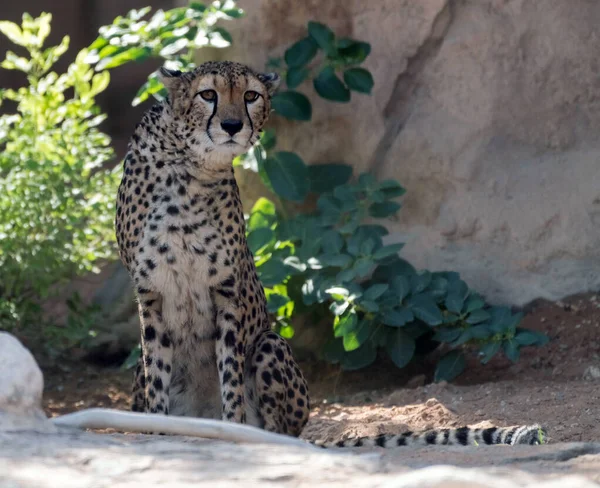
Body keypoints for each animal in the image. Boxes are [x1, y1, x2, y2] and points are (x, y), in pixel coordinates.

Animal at [71, 62, 548, 450]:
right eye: (208, 94)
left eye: (250, 96)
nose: (231, 125)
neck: (190, 167)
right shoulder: (150, 294)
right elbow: (157, 377)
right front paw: (157, 434)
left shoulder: (225, 290)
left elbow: (230, 378)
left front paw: (231, 429)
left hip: (269, 344)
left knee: (277, 423)